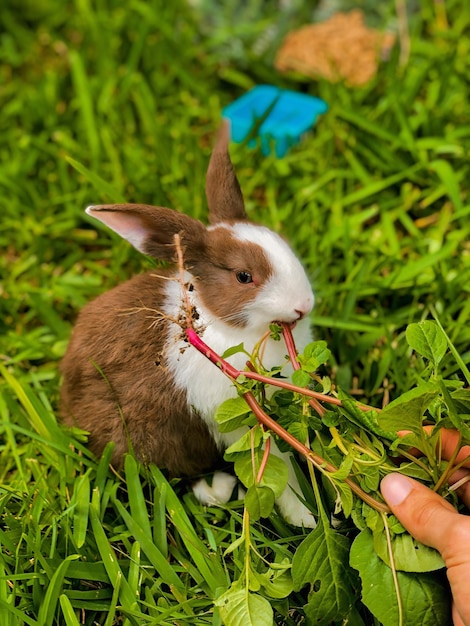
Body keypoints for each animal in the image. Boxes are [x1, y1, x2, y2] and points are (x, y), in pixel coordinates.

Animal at [58, 123, 316, 528]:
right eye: (244, 276)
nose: (303, 305)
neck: (222, 323)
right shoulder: (239, 423)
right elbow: (278, 469)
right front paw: (307, 518)